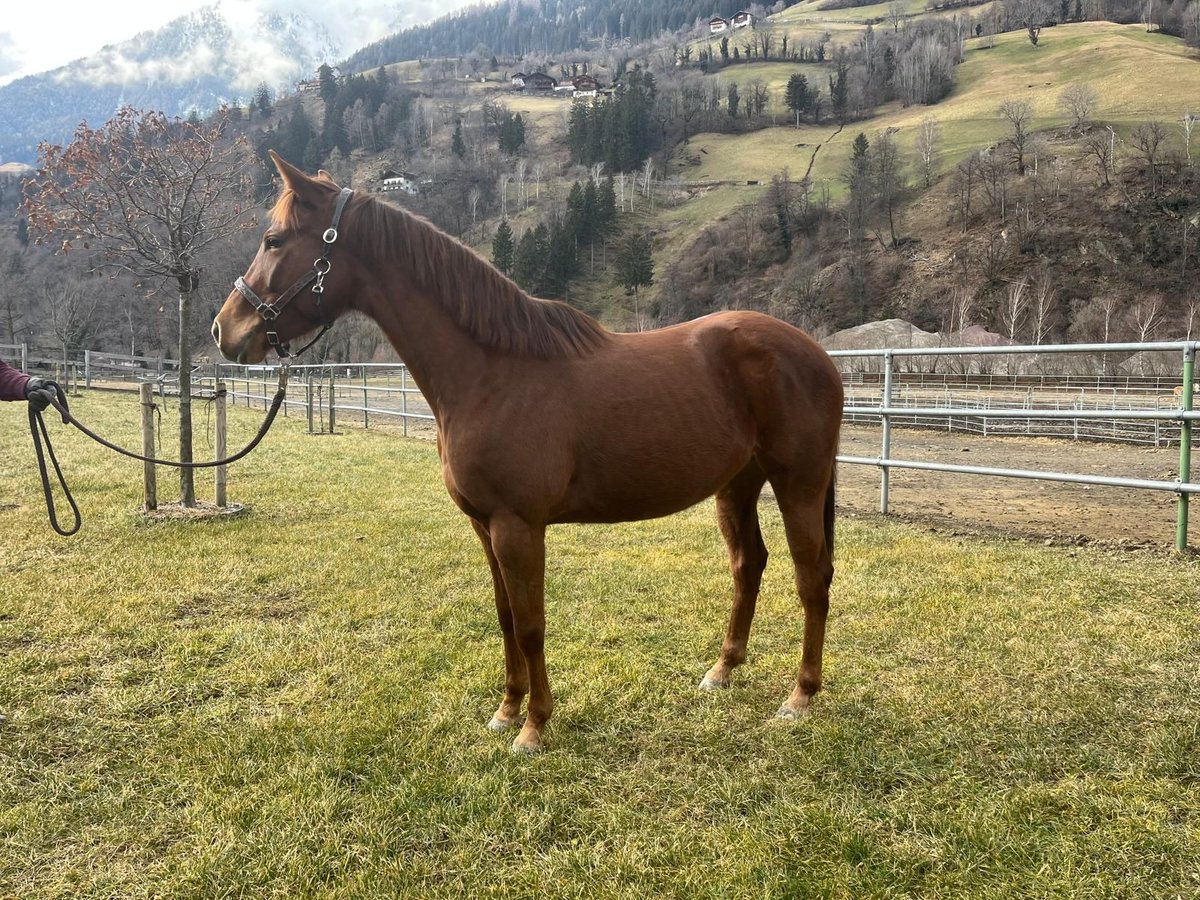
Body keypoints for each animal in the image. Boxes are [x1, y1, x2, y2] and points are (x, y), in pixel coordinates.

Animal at [211, 153, 840, 753]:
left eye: (273, 240)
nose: (224, 330)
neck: (492, 373)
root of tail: (814, 352)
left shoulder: (518, 526)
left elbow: (533, 623)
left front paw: (534, 726)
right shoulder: (485, 525)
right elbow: (506, 616)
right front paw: (507, 709)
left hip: (799, 484)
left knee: (813, 576)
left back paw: (800, 696)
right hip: (737, 485)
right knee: (748, 565)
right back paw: (722, 670)